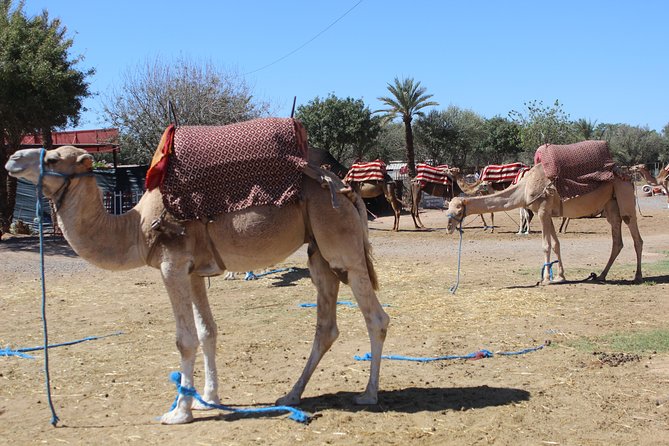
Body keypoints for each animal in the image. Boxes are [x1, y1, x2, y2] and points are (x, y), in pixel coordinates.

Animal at [5, 146, 390, 424]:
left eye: (53, 158)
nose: (12, 159)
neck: (136, 228)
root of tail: (345, 188)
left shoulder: (172, 266)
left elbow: (185, 339)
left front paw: (179, 412)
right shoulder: (193, 272)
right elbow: (208, 332)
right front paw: (209, 399)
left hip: (342, 245)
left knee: (376, 318)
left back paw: (368, 394)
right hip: (319, 254)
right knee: (326, 325)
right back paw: (291, 395)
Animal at [444, 163, 643, 284]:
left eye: (458, 210)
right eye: (449, 208)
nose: (448, 227)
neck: (524, 187)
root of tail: (628, 176)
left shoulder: (542, 211)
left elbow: (546, 245)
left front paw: (547, 279)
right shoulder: (548, 214)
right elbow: (556, 243)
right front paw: (560, 276)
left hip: (624, 196)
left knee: (636, 237)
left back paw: (638, 276)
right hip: (611, 205)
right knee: (617, 240)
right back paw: (601, 275)